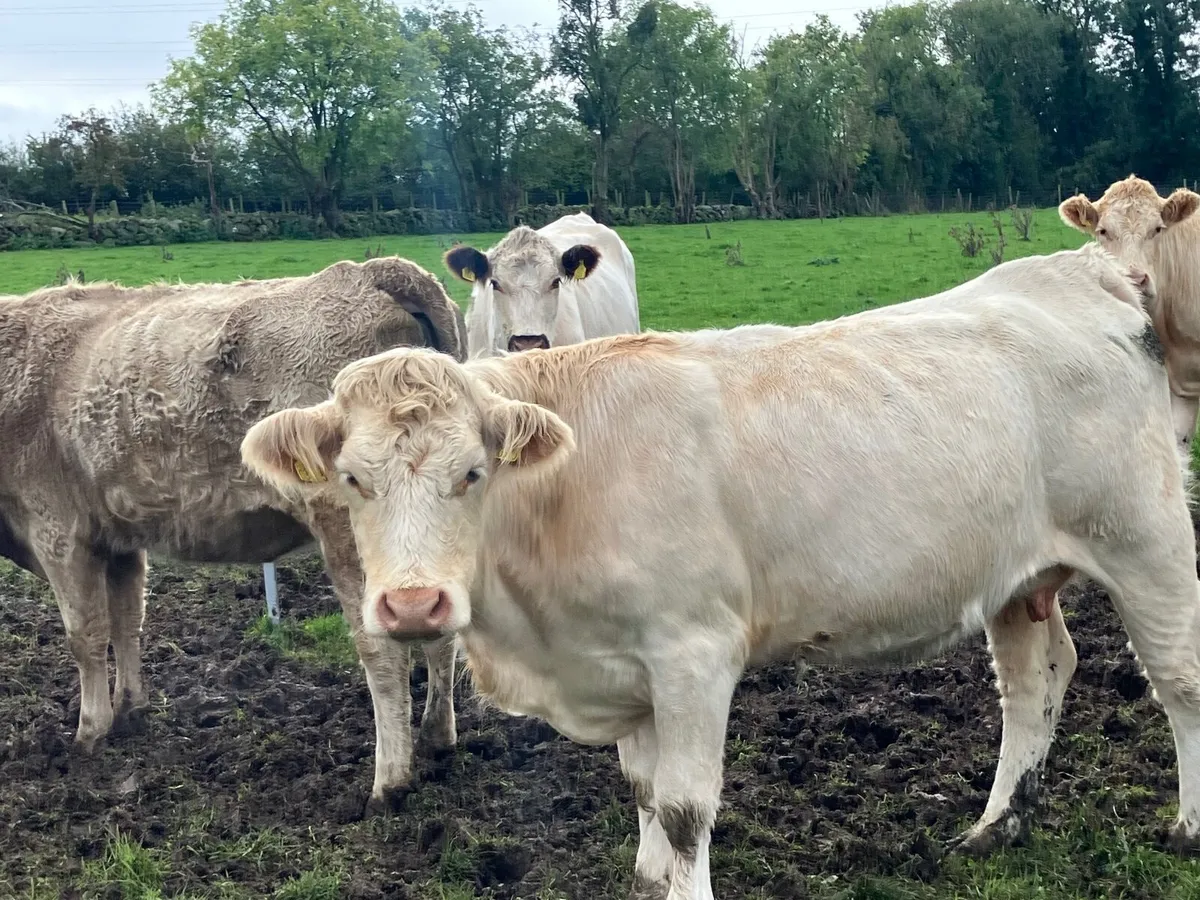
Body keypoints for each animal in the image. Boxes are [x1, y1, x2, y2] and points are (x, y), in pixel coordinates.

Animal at [0, 257, 467, 815]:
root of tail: (373, 270)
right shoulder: (118, 539)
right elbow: (126, 622)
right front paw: (129, 709)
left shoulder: (58, 532)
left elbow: (85, 635)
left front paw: (90, 731)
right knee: (443, 633)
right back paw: (437, 735)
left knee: (383, 651)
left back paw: (389, 781)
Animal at [241, 244, 1200, 900]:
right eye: (353, 480)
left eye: (472, 473)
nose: (411, 605)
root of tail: (1077, 270)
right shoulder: (622, 663)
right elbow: (642, 793)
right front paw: (647, 880)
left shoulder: (693, 653)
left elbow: (683, 808)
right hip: (1016, 574)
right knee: (1038, 678)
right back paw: (997, 825)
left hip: (1146, 537)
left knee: (1179, 679)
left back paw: (1188, 827)